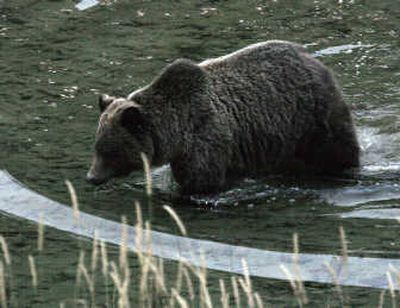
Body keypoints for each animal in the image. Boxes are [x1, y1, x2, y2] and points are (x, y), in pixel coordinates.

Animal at [86, 40, 360, 194]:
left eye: (110, 151)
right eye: (97, 147)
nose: (91, 177)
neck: (175, 134)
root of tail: (313, 59)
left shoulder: (206, 141)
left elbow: (201, 185)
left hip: (312, 120)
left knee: (337, 150)